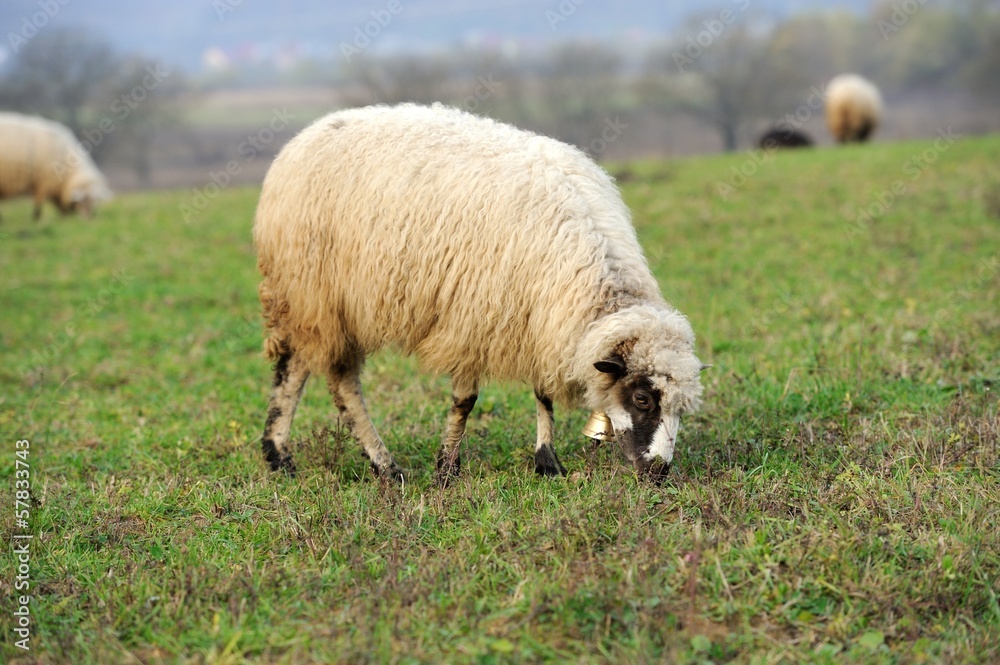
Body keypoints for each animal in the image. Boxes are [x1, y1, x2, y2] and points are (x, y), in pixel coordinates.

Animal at [253, 103, 706, 484]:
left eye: (681, 406)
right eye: (643, 399)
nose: (660, 472)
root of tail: (305, 136)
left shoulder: (537, 315)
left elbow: (543, 393)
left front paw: (547, 461)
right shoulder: (472, 315)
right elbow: (465, 400)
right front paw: (447, 469)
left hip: (323, 302)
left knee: (314, 373)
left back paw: (296, 458)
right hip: (313, 293)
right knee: (320, 378)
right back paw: (361, 463)